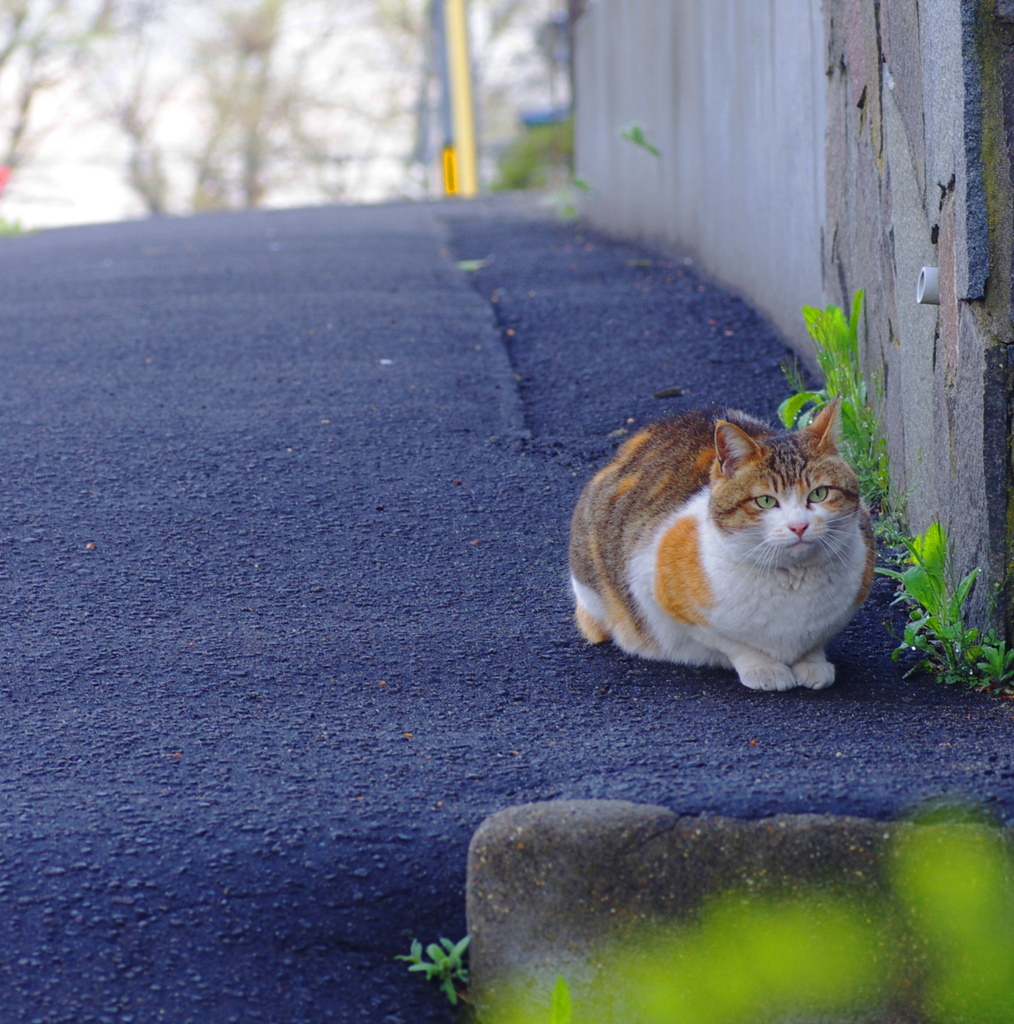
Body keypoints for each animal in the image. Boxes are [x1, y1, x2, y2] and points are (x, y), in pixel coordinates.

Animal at [569, 395, 876, 692]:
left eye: (819, 494)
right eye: (765, 500)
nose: (799, 526)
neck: (794, 581)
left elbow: (815, 640)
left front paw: (812, 662)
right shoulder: (659, 590)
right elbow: (732, 643)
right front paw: (763, 668)